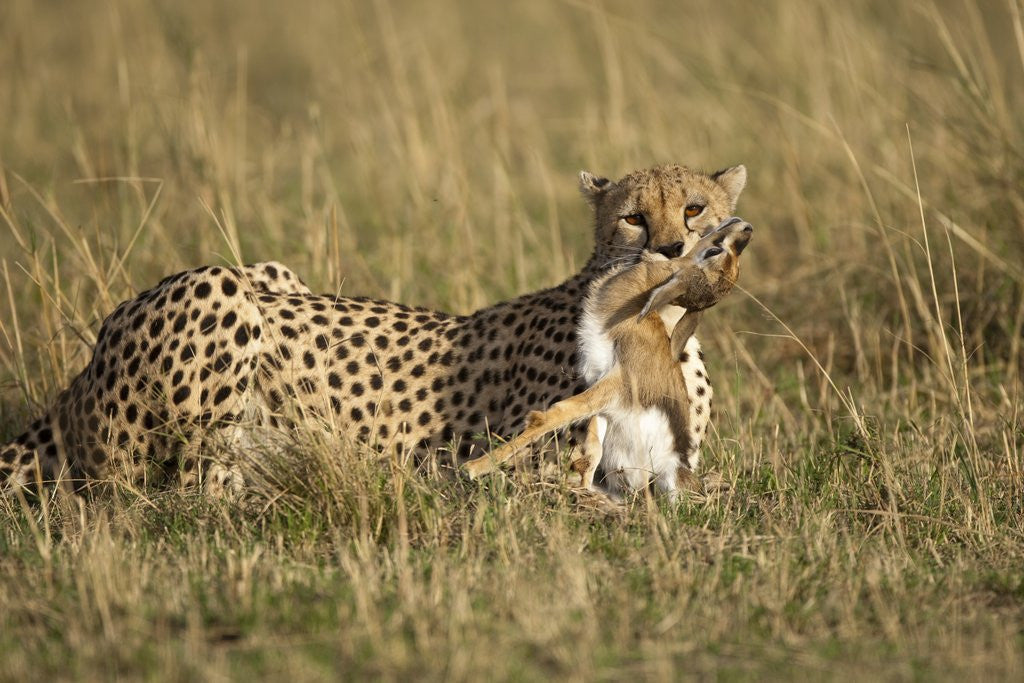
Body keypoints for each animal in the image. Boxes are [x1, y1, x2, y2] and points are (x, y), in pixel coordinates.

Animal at [0, 163, 747, 494]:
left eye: (693, 207)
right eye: (634, 217)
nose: (672, 250)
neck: (659, 323)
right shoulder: (529, 472)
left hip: (270, 271)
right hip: (217, 291)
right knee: (168, 493)